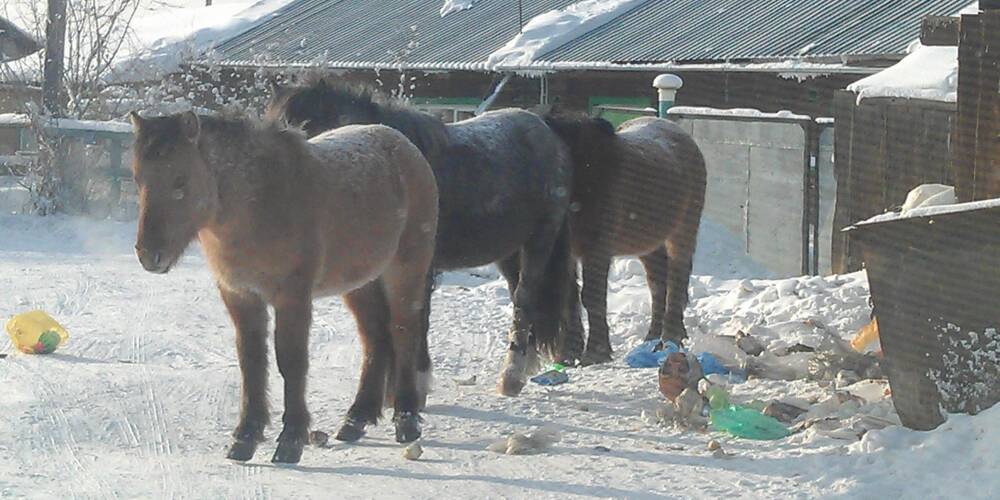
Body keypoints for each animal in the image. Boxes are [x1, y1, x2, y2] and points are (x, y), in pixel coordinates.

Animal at [127, 111, 436, 462]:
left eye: (180, 180)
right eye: (138, 179)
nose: (149, 255)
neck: (260, 201)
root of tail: (406, 148)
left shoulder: (292, 297)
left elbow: (291, 362)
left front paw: (291, 439)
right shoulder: (240, 296)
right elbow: (252, 362)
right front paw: (246, 436)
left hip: (405, 271)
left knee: (404, 332)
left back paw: (406, 419)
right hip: (361, 283)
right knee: (375, 338)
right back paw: (356, 419)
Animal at [544, 113, 708, 366]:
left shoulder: (598, 250)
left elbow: (591, 296)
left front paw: (596, 352)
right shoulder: (569, 253)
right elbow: (570, 298)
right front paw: (567, 354)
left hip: (682, 234)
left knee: (676, 281)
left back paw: (670, 339)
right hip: (649, 245)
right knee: (658, 285)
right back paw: (652, 340)